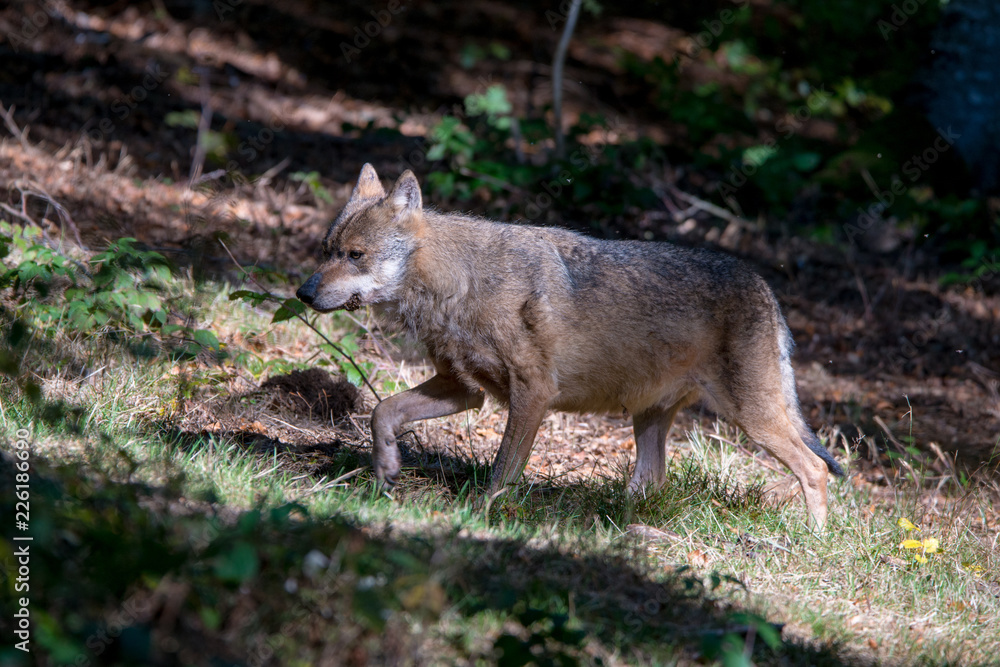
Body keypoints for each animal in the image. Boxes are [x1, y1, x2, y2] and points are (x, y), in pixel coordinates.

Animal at [296, 164, 844, 526]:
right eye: (325, 251)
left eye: (355, 255)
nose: (303, 292)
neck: (460, 283)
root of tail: (766, 288)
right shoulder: (465, 390)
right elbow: (382, 412)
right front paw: (385, 470)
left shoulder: (533, 393)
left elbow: (502, 470)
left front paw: (479, 517)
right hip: (651, 420)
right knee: (652, 485)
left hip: (749, 419)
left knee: (817, 469)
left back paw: (811, 540)